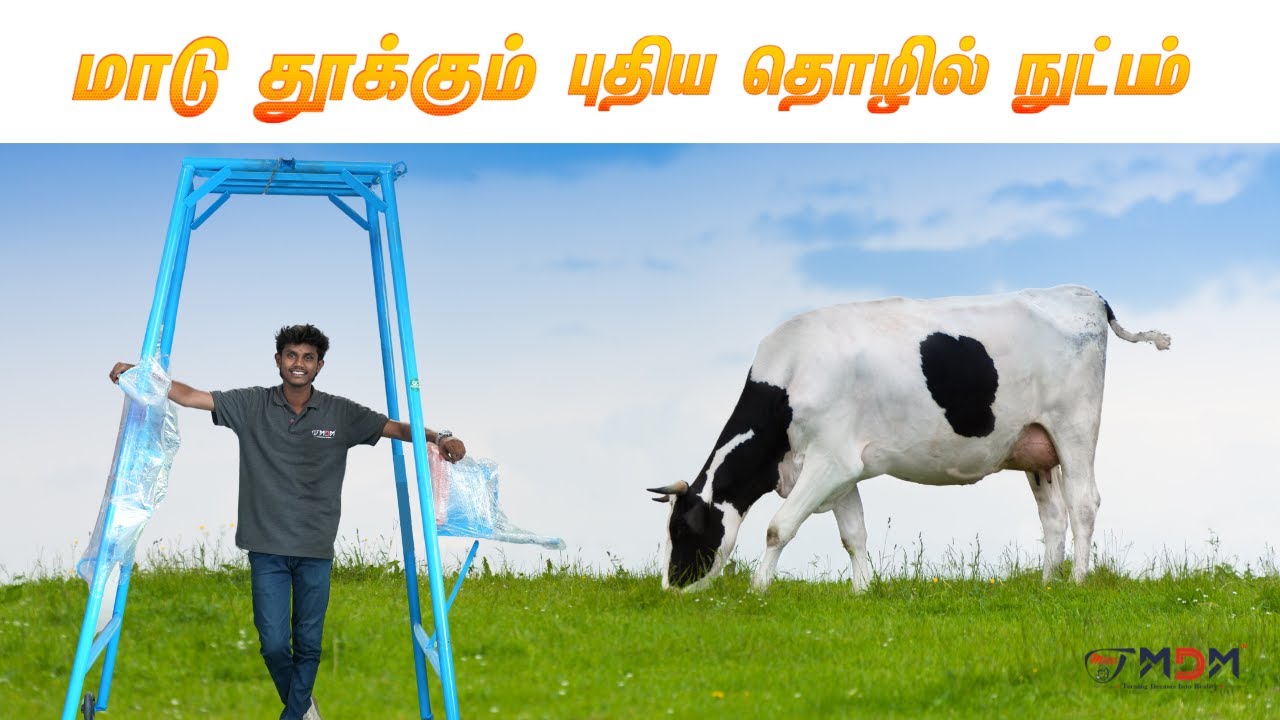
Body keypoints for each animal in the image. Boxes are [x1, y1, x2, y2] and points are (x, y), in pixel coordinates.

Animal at [649, 285, 1170, 593]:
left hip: (1075, 427)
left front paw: (758, 591)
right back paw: (1046, 584)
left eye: (683, 530)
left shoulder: (830, 460)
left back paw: (1078, 581)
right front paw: (862, 592)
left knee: (1083, 502)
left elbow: (779, 527)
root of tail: (1085, 293)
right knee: (1054, 516)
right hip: (1036, 446)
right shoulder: (843, 467)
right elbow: (853, 534)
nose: (671, 590)